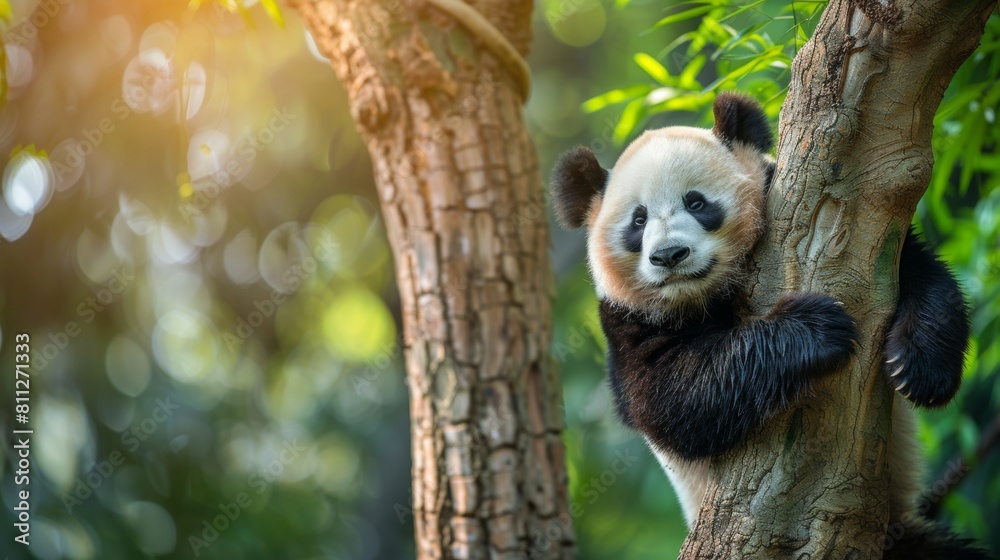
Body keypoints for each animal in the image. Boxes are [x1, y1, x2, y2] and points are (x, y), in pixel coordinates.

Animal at [550, 92, 986, 559]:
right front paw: (817, 329)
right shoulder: (628, 321)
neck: (703, 296)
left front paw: (918, 369)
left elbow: (921, 272)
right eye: (638, 220)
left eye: (696, 203)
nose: (669, 255)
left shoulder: (878, 250)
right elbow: (676, 397)